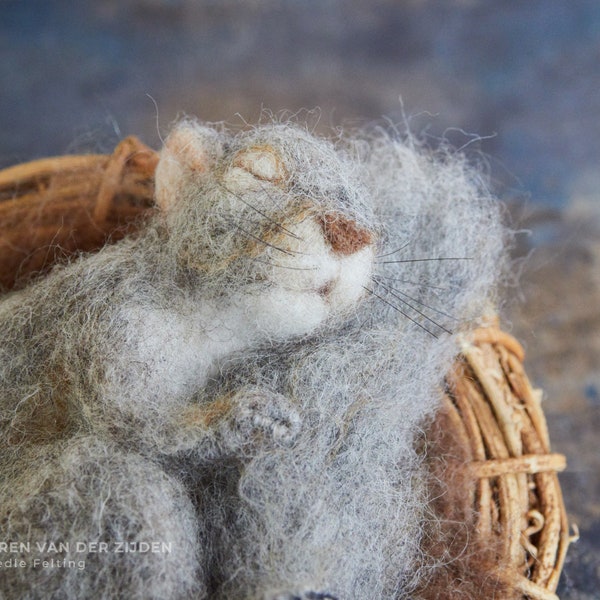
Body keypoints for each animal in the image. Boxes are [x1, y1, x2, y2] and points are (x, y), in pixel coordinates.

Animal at [0, 118, 506, 600]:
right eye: (256, 172)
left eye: (371, 218)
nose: (350, 233)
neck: (211, 324)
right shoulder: (110, 321)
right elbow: (130, 419)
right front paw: (251, 416)